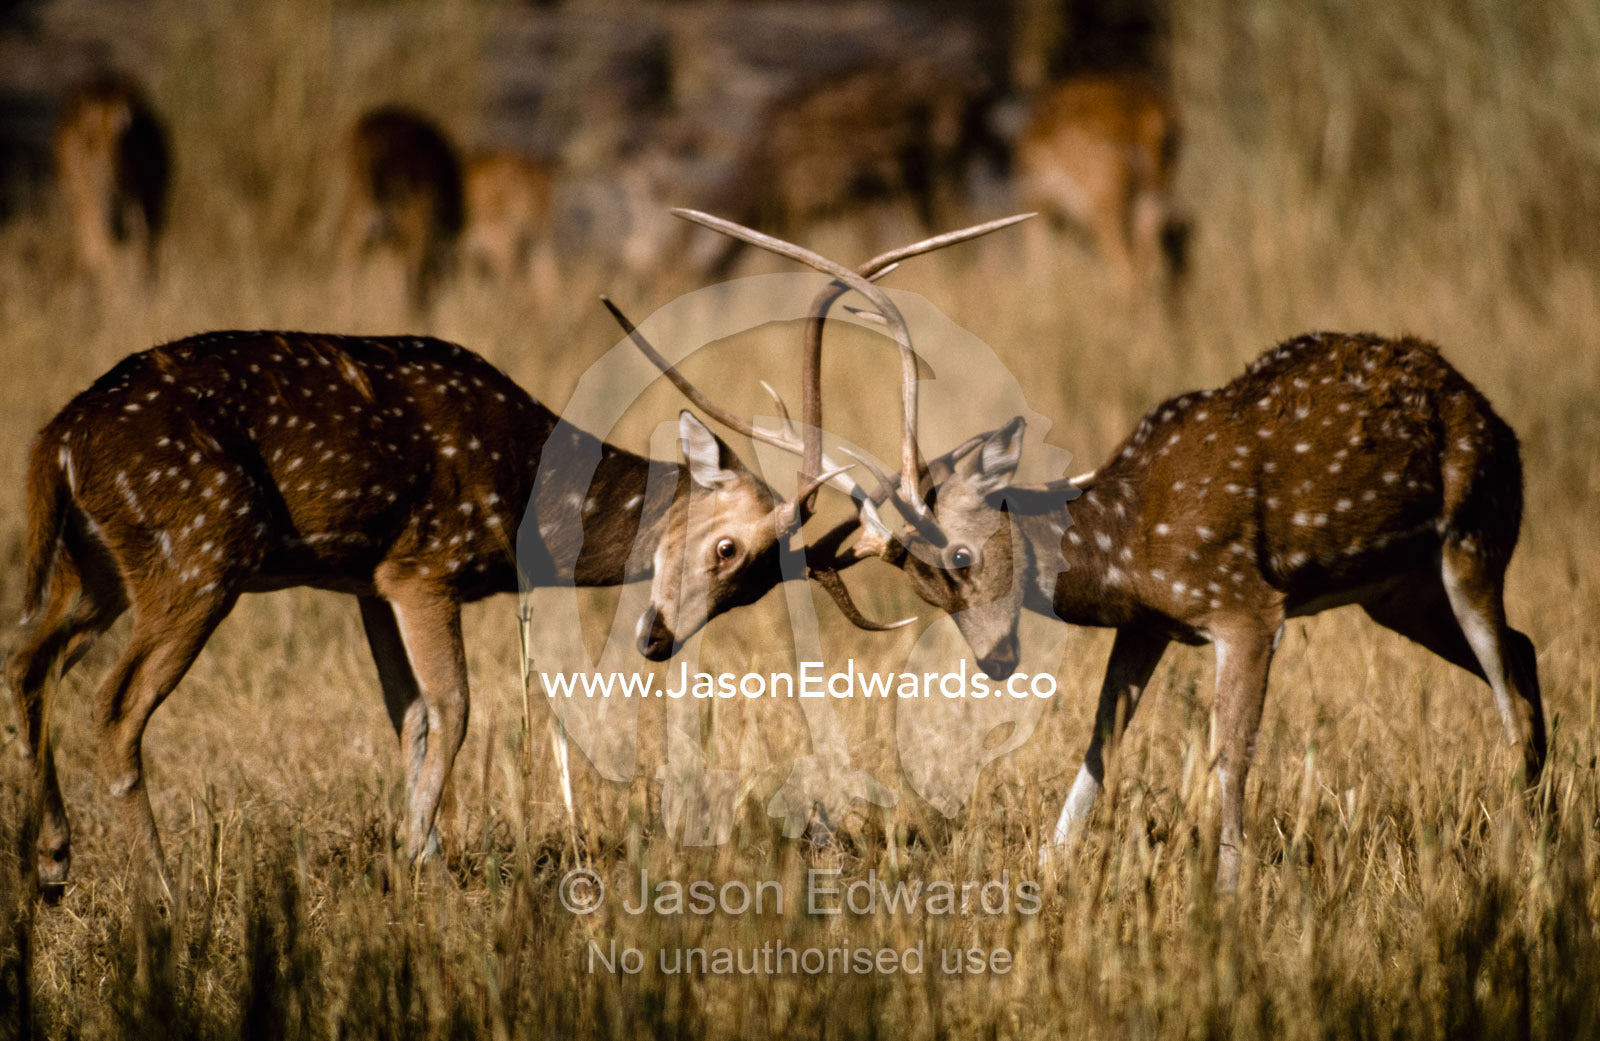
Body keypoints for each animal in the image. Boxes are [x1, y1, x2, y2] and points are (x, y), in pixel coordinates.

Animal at [5, 217, 1017, 894]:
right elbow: (455, 710)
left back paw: (50, 859)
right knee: (113, 704)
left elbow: (413, 716)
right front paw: (418, 863)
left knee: (27, 656)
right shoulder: (425, 562)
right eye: (727, 545)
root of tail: (56, 438)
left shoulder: (367, 577)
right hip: (198, 552)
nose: (656, 640)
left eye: (749, 587)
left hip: (97, 565)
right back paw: (162, 888)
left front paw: (417, 851)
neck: (527, 490)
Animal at [667, 214, 1548, 892]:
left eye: (961, 556)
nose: (997, 661)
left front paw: (1230, 894)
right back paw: (1541, 819)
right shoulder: (1149, 622)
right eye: (919, 589)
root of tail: (1496, 419)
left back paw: (1520, 847)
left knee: (1507, 687)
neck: (1125, 543)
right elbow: (1100, 743)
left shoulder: (1246, 607)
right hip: (1395, 591)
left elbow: (1229, 754)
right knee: (1526, 650)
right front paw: (1050, 871)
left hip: (1474, 534)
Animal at [1014, 71, 1189, 297]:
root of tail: (1150, 115)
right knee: (1146, 267)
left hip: (1105, 206)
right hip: (1153, 197)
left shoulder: (1037, 207)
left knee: (1126, 270)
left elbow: (1039, 269)